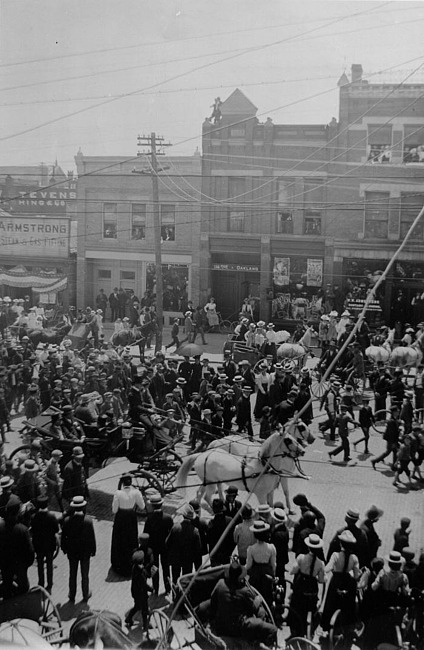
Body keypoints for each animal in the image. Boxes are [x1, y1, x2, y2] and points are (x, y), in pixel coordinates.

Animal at [174, 430, 306, 506]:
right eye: (288, 440)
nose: (303, 451)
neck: (264, 466)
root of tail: (202, 454)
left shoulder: (270, 492)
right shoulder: (261, 495)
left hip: (207, 481)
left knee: (200, 493)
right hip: (211, 483)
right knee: (207, 496)